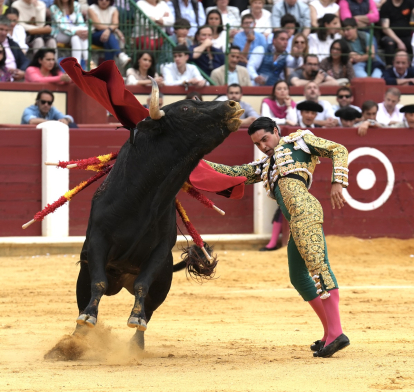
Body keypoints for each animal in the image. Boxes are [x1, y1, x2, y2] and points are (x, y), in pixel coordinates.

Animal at [75, 82, 243, 350]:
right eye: (185, 108)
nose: (233, 104)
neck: (142, 199)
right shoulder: (98, 241)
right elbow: (98, 283)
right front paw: (89, 317)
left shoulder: (161, 250)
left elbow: (143, 285)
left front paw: (136, 319)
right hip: (83, 275)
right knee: (85, 299)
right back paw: (71, 342)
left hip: (162, 286)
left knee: (149, 309)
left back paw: (136, 346)